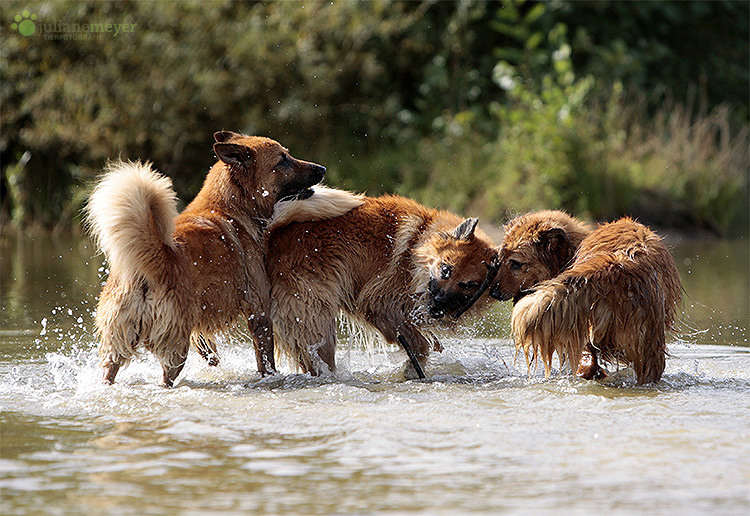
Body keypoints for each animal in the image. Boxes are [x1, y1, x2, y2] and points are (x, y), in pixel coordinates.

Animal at [264, 196, 500, 376]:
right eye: (445, 269)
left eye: (468, 285)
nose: (439, 303)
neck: (416, 247)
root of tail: (274, 238)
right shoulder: (380, 304)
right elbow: (419, 345)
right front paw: (413, 370)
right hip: (316, 324)